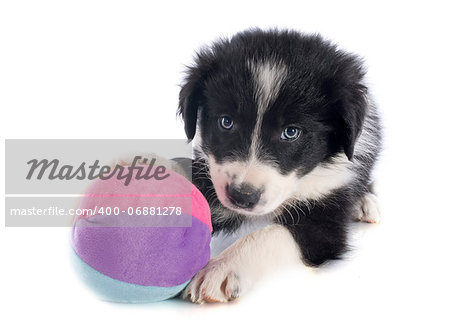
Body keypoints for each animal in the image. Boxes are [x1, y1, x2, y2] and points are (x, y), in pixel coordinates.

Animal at [178, 28, 382, 304]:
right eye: (226, 122)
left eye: (291, 132)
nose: (242, 196)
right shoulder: (209, 174)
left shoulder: (324, 219)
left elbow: (270, 235)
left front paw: (221, 267)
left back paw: (364, 203)